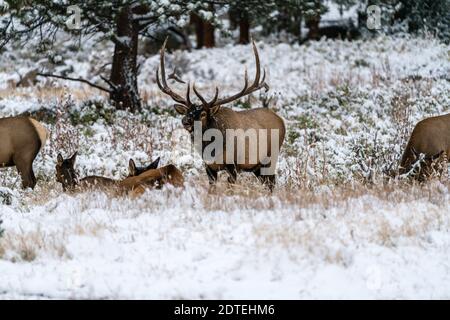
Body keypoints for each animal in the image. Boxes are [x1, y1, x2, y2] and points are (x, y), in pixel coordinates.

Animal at [156, 39, 286, 190]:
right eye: (188, 112)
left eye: (203, 114)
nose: (185, 121)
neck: (212, 149)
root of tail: (281, 120)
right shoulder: (208, 166)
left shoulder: (233, 165)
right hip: (256, 166)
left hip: (271, 156)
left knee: (272, 181)